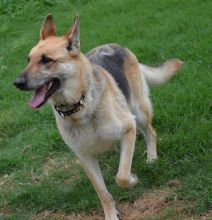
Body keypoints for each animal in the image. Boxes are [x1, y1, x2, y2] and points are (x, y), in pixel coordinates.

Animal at [13, 14, 182, 219]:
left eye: (46, 60)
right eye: (28, 59)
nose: (17, 82)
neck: (80, 107)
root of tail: (115, 45)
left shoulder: (129, 127)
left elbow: (121, 176)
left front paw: (133, 179)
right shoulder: (85, 157)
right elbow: (103, 193)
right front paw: (110, 214)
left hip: (139, 111)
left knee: (151, 132)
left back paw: (152, 158)